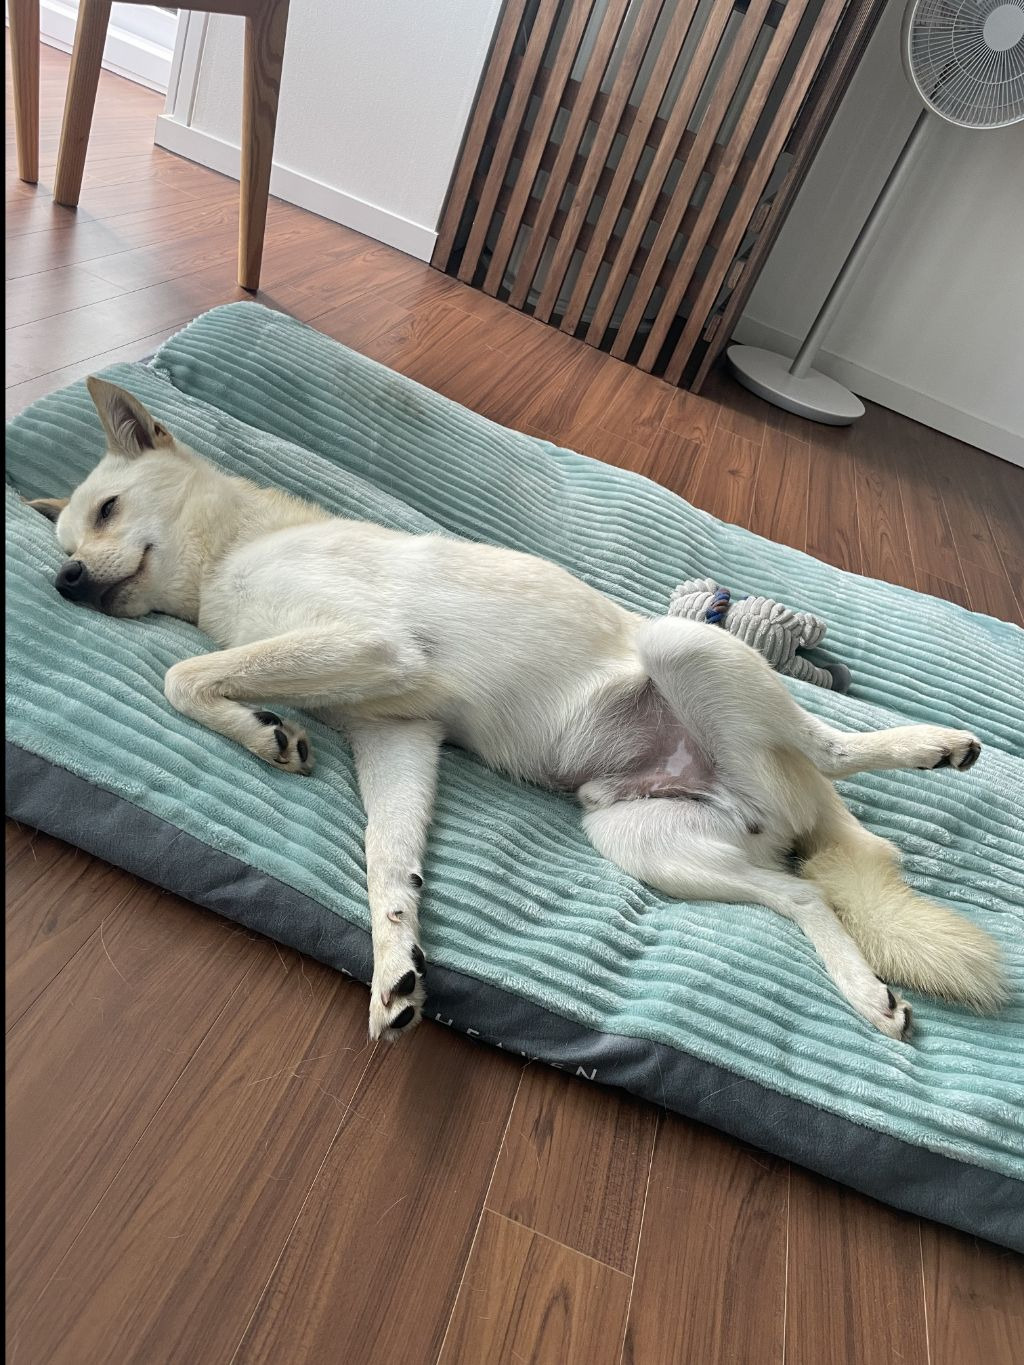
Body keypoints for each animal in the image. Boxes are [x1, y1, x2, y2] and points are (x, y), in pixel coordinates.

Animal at [27, 376, 1007, 1041]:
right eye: (67, 539)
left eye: (107, 509)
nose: (63, 581)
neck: (233, 551)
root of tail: (811, 810)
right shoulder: (396, 732)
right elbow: (388, 860)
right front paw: (396, 964)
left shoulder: (374, 646)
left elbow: (187, 674)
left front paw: (261, 730)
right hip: (646, 840)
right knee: (802, 895)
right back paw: (865, 990)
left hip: (684, 649)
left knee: (832, 743)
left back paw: (936, 745)